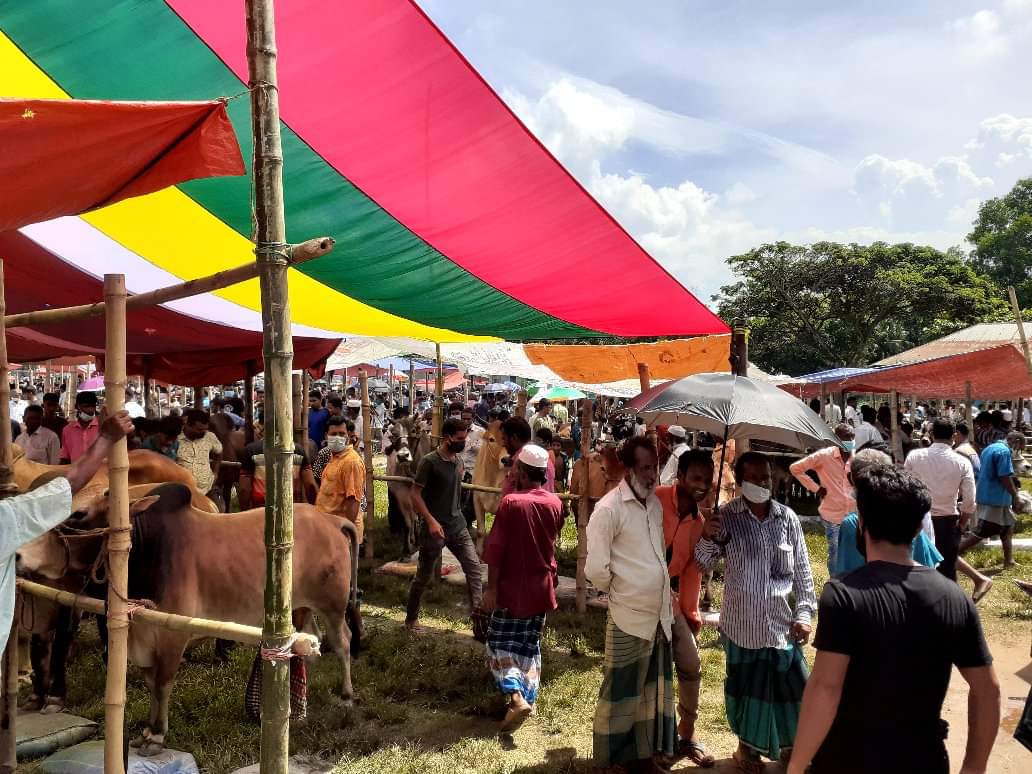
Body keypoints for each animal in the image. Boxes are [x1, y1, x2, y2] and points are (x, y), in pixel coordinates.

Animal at [15, 485, 363, 759]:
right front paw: (146, 732)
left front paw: (156, 737)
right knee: (311, 641)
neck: (146, 550)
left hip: (332, 605)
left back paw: (346, 698)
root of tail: (332, 520)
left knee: (342, 641)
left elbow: (163, 684)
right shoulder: (142, 636)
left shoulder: (172, 638)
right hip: (300, 607)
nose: (16, 554)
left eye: (78, 515)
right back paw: (298, 705)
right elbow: (151, 684)